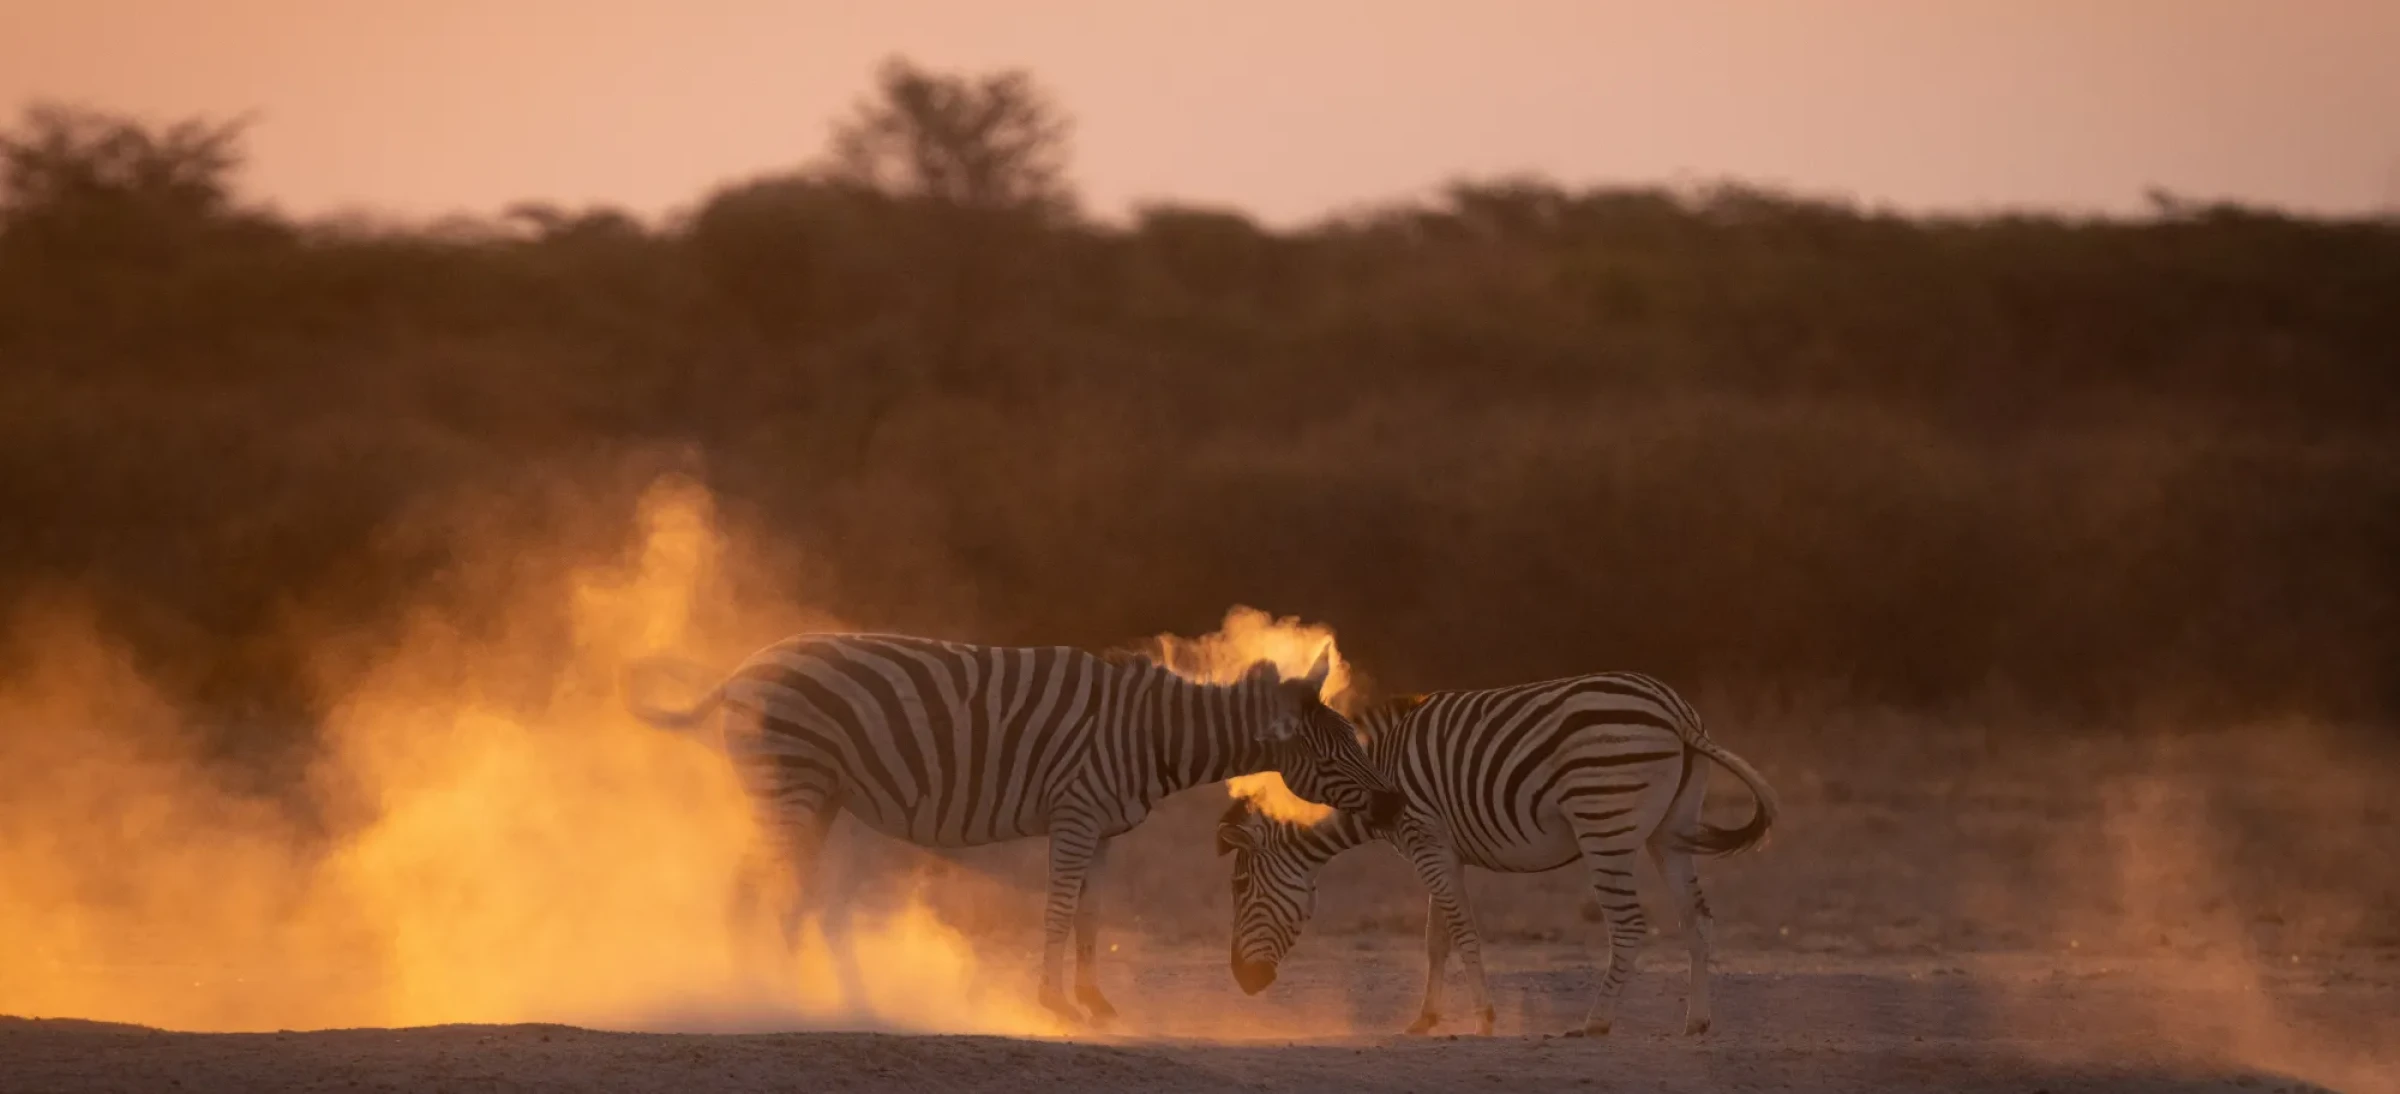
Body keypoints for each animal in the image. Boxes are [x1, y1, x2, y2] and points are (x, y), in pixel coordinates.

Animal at [624, 631, 1404, 1026]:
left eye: (1355, 745)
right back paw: (756, 990)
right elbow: (1058, 911)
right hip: (791, 785)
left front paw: (1095, 1002)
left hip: (817, 800)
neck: (1152, 733)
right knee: (752, 890)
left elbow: (1092, 914)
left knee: (784, 893)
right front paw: (1052, 1002)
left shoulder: (1106, 829)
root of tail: (742, 670)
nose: (1396, 807)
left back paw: (791, 988)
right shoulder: (1076, 812)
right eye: (1335, 754)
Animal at [1213, 672, 1778, 1037]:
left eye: (1240, 887)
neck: (1370, 779)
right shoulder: (1440, 848)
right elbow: (1435, 939)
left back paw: (1595, 1021)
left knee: (1630, 925)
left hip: (1603, 825)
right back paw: (1697, 1021)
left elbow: (1462, 932)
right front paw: (1425, 1019)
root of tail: (1678, 714)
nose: (1242, 981)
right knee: (1696, 918)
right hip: (1671, 830)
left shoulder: (1425, 839)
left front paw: (1484, 1016)